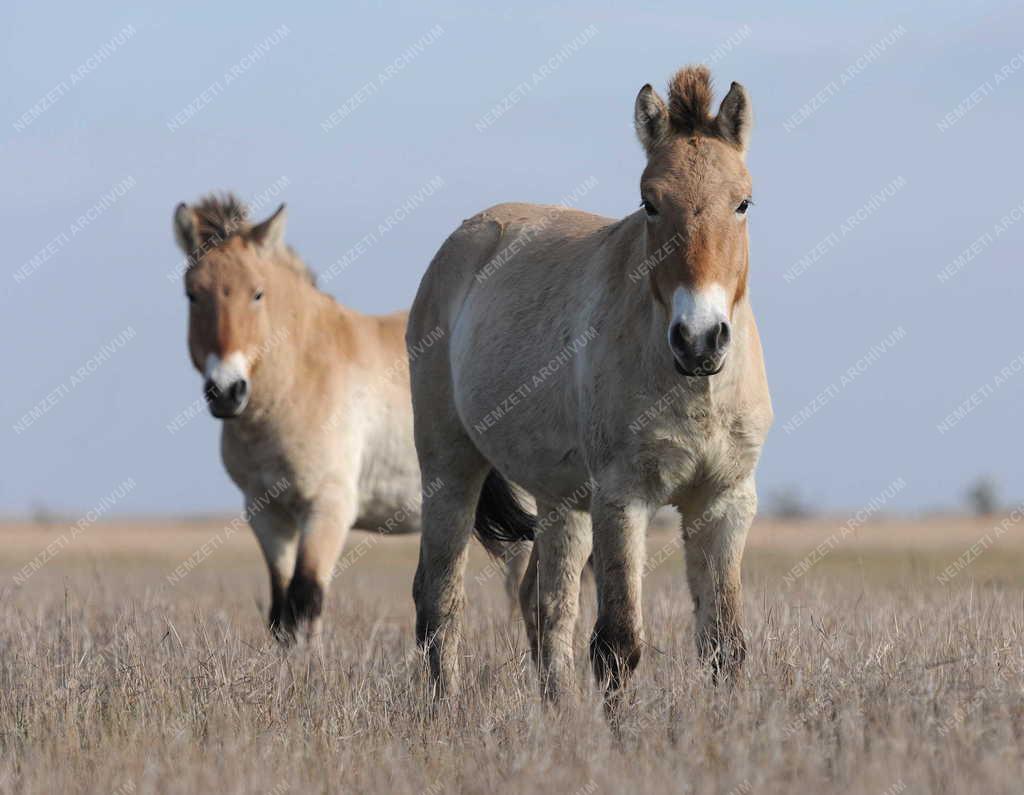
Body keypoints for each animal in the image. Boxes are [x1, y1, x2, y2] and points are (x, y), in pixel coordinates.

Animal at [174, 195, 520, 643]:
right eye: (192, 295)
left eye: (257, 293)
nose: (226, 390)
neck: (303, 374)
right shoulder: (267, 515)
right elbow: (280, 608)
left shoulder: (329, 508)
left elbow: (305, 601)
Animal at [407, 66, 770, 700]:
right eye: (649, 202)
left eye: (742, 202)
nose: (699, 340)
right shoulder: (623, 498)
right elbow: (618, 644)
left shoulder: (725, 502)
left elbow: (724, 645)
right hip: (450, 470)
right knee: (439, 600)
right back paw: (444, 710)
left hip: (561, 501)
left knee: (544, 607)